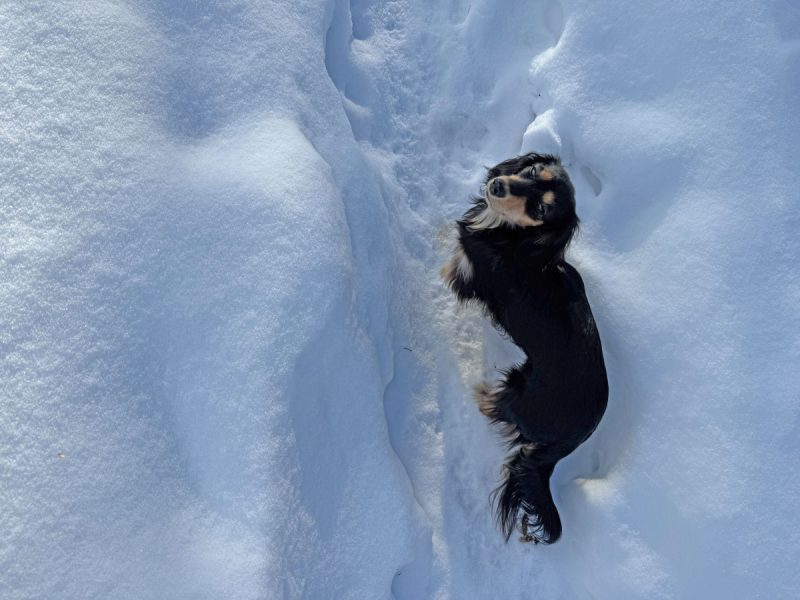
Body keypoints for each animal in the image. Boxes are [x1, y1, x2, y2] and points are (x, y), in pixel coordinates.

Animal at [444, 151, 608, 544]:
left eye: (540, 210)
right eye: (533, 171)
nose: (499, 186)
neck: (515, 239)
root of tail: (577, 436)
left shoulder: (468, 272)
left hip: (519, 388)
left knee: (499, 407)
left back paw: (482, 394)